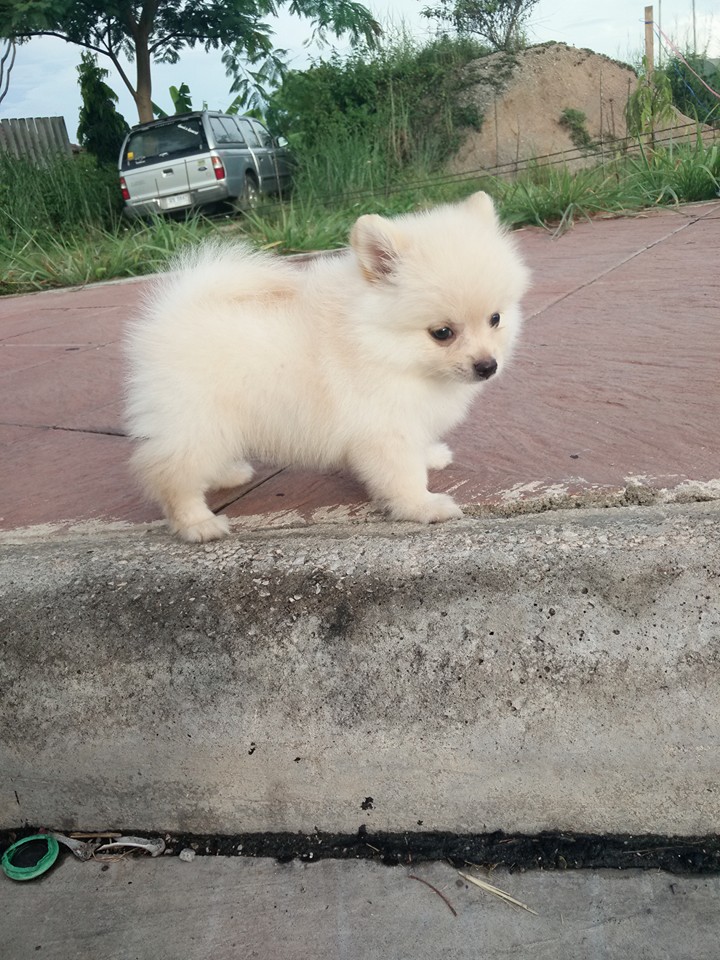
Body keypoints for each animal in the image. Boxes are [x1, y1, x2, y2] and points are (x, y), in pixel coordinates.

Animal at [125, 191, 529, 542]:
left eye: (495, 319)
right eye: (442, 333)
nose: (487, 365)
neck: (382, 344)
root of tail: (173, 312)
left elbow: (420, 445)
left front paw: (430, 456)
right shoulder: (384, 429)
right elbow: (403, 475)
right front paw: (424, 506)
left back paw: (227, 474)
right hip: (200, 420)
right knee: (171, 474)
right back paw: (197, 524)